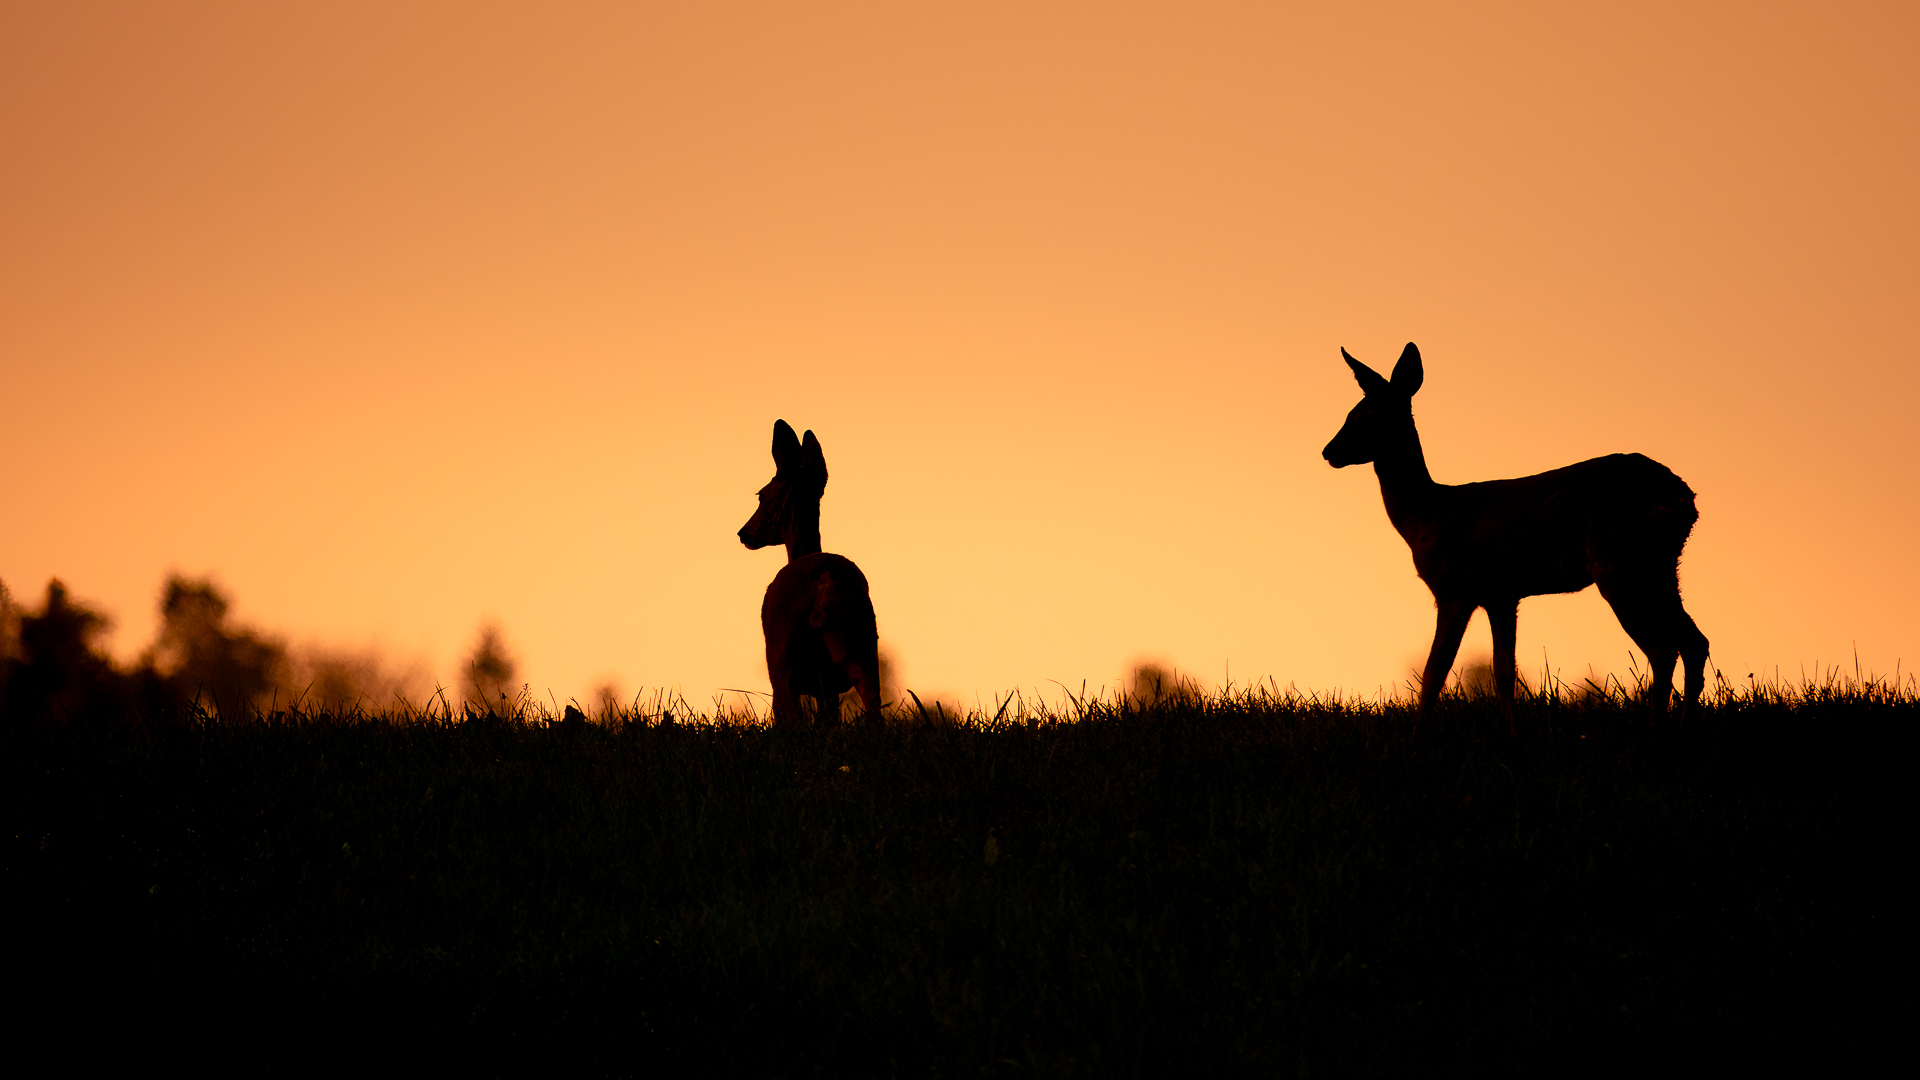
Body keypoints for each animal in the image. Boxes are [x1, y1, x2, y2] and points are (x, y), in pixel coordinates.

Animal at [737, 418, 879, 722]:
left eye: (761, 496)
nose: (744, 533)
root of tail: (827, 579)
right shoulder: (828, 688)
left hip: (785, 659)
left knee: (790, 716)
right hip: (862, 648)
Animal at [1320, 340, 1712, 726]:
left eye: (1364, 414)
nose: (1328, 451)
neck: (1424, 515)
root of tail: (1682, 496)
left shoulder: (1454, 589)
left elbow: (1435, 673)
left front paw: (1418, 735)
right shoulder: (1502, 596)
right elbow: (1504, 673)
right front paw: (1512, 734)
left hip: (1618, 560)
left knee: (1663, 648)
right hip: (1659, 565)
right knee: (1695, 641)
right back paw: (1684, 727)